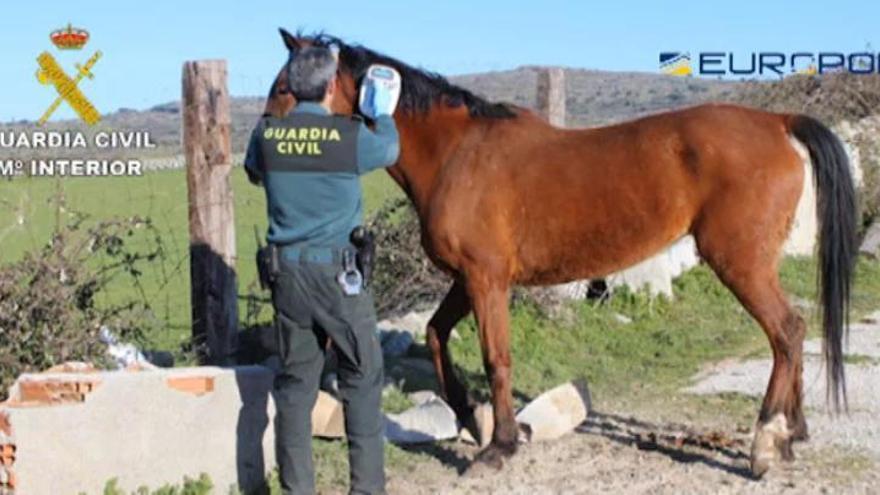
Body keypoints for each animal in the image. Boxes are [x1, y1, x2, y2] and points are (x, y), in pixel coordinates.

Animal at [264, 29, 856, 478]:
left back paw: (767, 440)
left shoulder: (486, 279)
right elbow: (435, 334)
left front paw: (499, 446)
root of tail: (778, 122)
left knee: (786, 332)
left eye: (286, 89)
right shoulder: (468, 279)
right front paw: (473, 417)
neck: (458, 152)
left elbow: (496, 358)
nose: (259, 159)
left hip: (740, 262)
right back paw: (793, 432)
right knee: (792, 334)